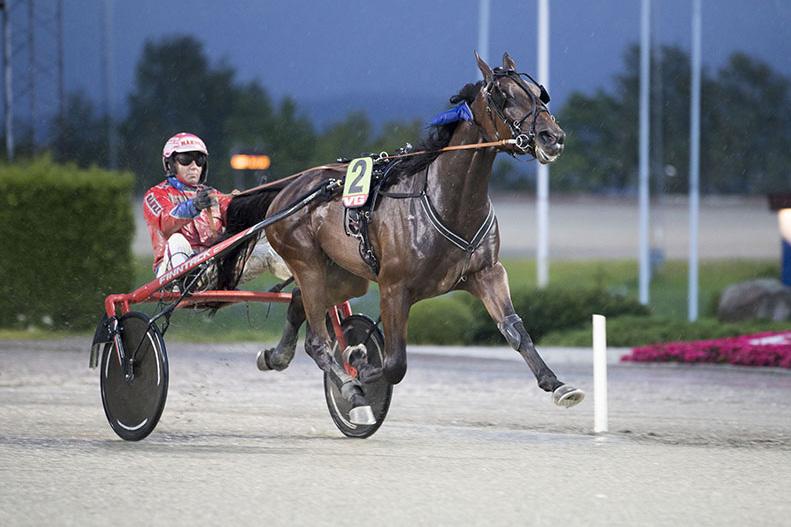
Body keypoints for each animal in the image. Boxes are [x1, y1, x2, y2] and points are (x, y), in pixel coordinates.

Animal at [220, 51, 584, 424]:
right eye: (503, 96)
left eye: (539, 94)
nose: (552, 136)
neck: (446, 201)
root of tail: (288, 189)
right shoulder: (395, 287)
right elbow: (394, 365)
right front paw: (360, 374)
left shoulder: (487, 273)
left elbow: (514, 329)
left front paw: (557, 384)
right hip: (306, 261)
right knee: (318, 341)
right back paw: (347, 387)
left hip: (344, 275)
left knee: (299, 302)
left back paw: (275, 356)